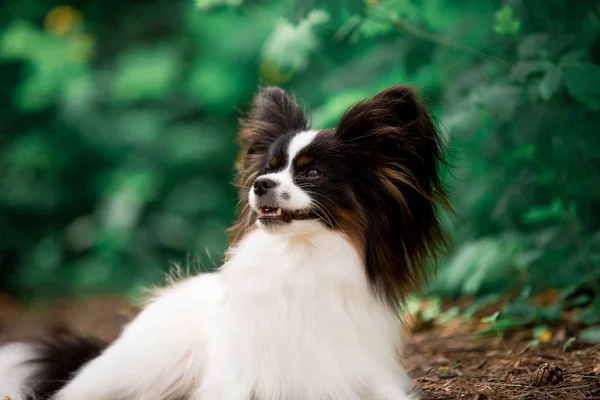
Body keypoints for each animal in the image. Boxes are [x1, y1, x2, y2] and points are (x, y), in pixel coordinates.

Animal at [0, 85, 450, 400]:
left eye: (313, 173)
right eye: (269, 168)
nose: (260, 184)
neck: (299, 260)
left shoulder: (366, 376)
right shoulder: (239, 380)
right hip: (140, 367)